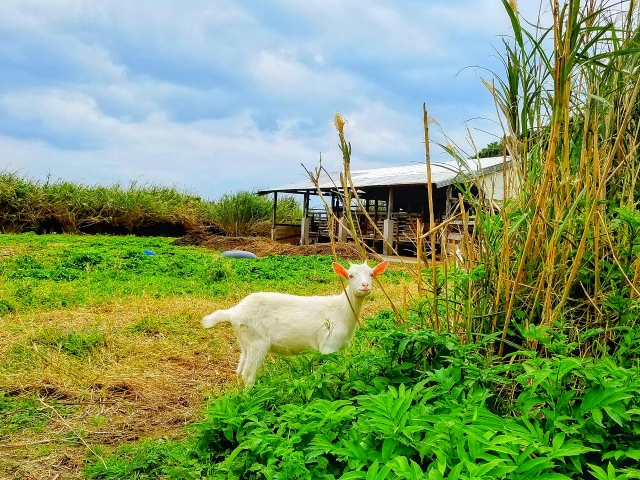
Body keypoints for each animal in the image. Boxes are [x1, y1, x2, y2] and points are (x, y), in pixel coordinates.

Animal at [202, 260, 388, 388]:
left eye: (371, 274)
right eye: (350, 275)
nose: (365, 285)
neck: (341, 309)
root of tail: (234, 312)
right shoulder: (328, 345)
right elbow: (328, 373)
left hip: (245, 341)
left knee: (240, 371)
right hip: (257, 341)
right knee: (248, 373)